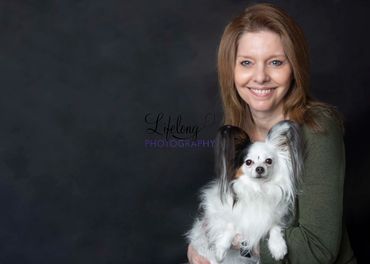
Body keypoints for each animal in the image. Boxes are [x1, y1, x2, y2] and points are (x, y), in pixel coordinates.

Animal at [186, 120, 302, 262]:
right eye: (248, 162)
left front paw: (278, 246)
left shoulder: (276, 215)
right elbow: (230, 224)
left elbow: (274, 225)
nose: (259, 168)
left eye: (268, 161)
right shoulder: (220, 213)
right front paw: (221, 248)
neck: (258, 189)